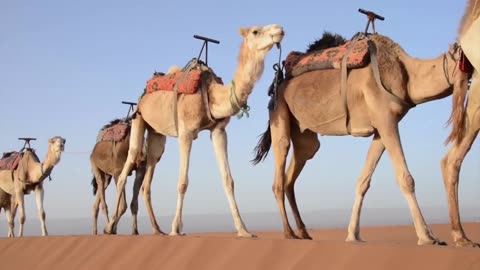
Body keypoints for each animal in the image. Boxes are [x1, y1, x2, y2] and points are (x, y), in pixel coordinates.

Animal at [104, 25, 284, 236]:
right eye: (256, 31)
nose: (279, 30)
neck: (210, 94)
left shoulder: (219, 131)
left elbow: (228, 180)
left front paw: (243, 230)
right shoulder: (186, 133)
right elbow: (182, 182)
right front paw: (175, 229)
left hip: (157, 133)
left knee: (149, 173)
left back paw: (157, 230)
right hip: (139, 119)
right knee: (127, 167)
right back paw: (110, 226)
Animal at [251, 30, 464, 246]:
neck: (406, 73)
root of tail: (278, 84)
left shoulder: (381, 128)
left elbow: (363, 181)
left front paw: (353, 235)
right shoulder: (386, 119)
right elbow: (406, 178)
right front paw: (426, 236)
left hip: (304, 135)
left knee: (295, 170)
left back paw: (303, 231)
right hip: (279, 113)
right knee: (280, 170)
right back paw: (288, 233)